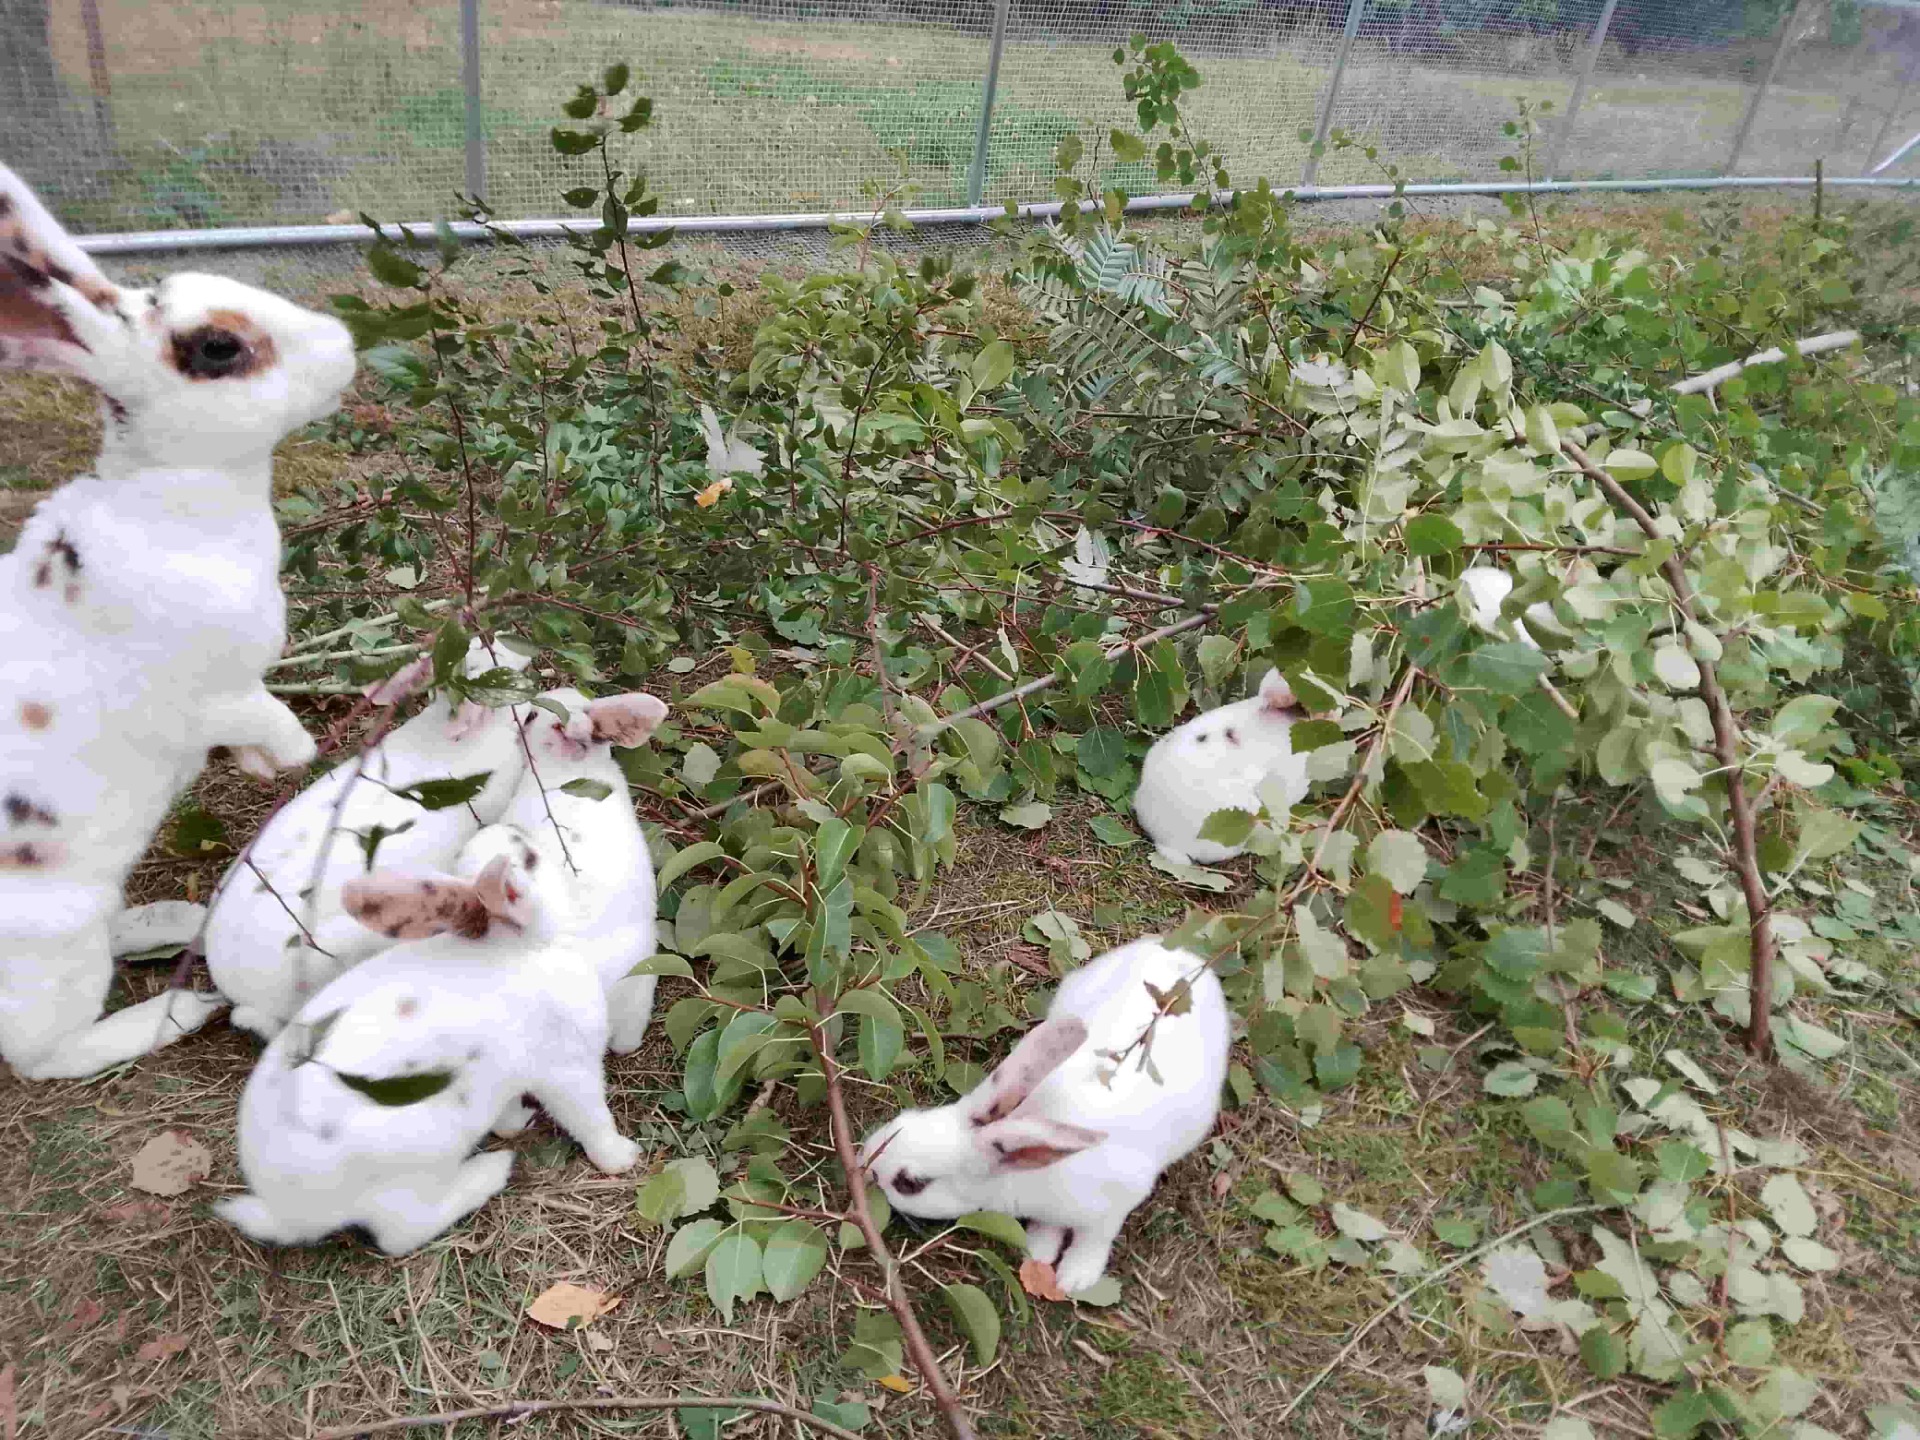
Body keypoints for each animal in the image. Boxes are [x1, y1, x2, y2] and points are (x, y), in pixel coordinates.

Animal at [0, 162, 357, 1080]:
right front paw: (290, 757)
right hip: (53, 950)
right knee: (44, 1055)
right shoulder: (213, 694)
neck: (170, 497)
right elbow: (264, 718)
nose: (342, 343)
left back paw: (168, 921)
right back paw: (174, 1011)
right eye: (218, 348)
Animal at [216, 827, 641, 1256]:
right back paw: (491, 1171)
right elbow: (590, 1118)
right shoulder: (568, 1069)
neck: (524, 944)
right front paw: (622, 1156)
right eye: (530, 859)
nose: (510, 831)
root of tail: (287, 1210)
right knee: (401, 1233)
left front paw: (517, 1120)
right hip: (413, 1166)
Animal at [860, 936, 1229, 1295]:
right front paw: (1039, 1252)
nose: (864, 1164)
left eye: (910, 1183)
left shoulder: (1116, 1204)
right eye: (902, 1119)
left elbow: (1095, 1237)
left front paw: (1075, 1277)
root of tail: (1185, 958)